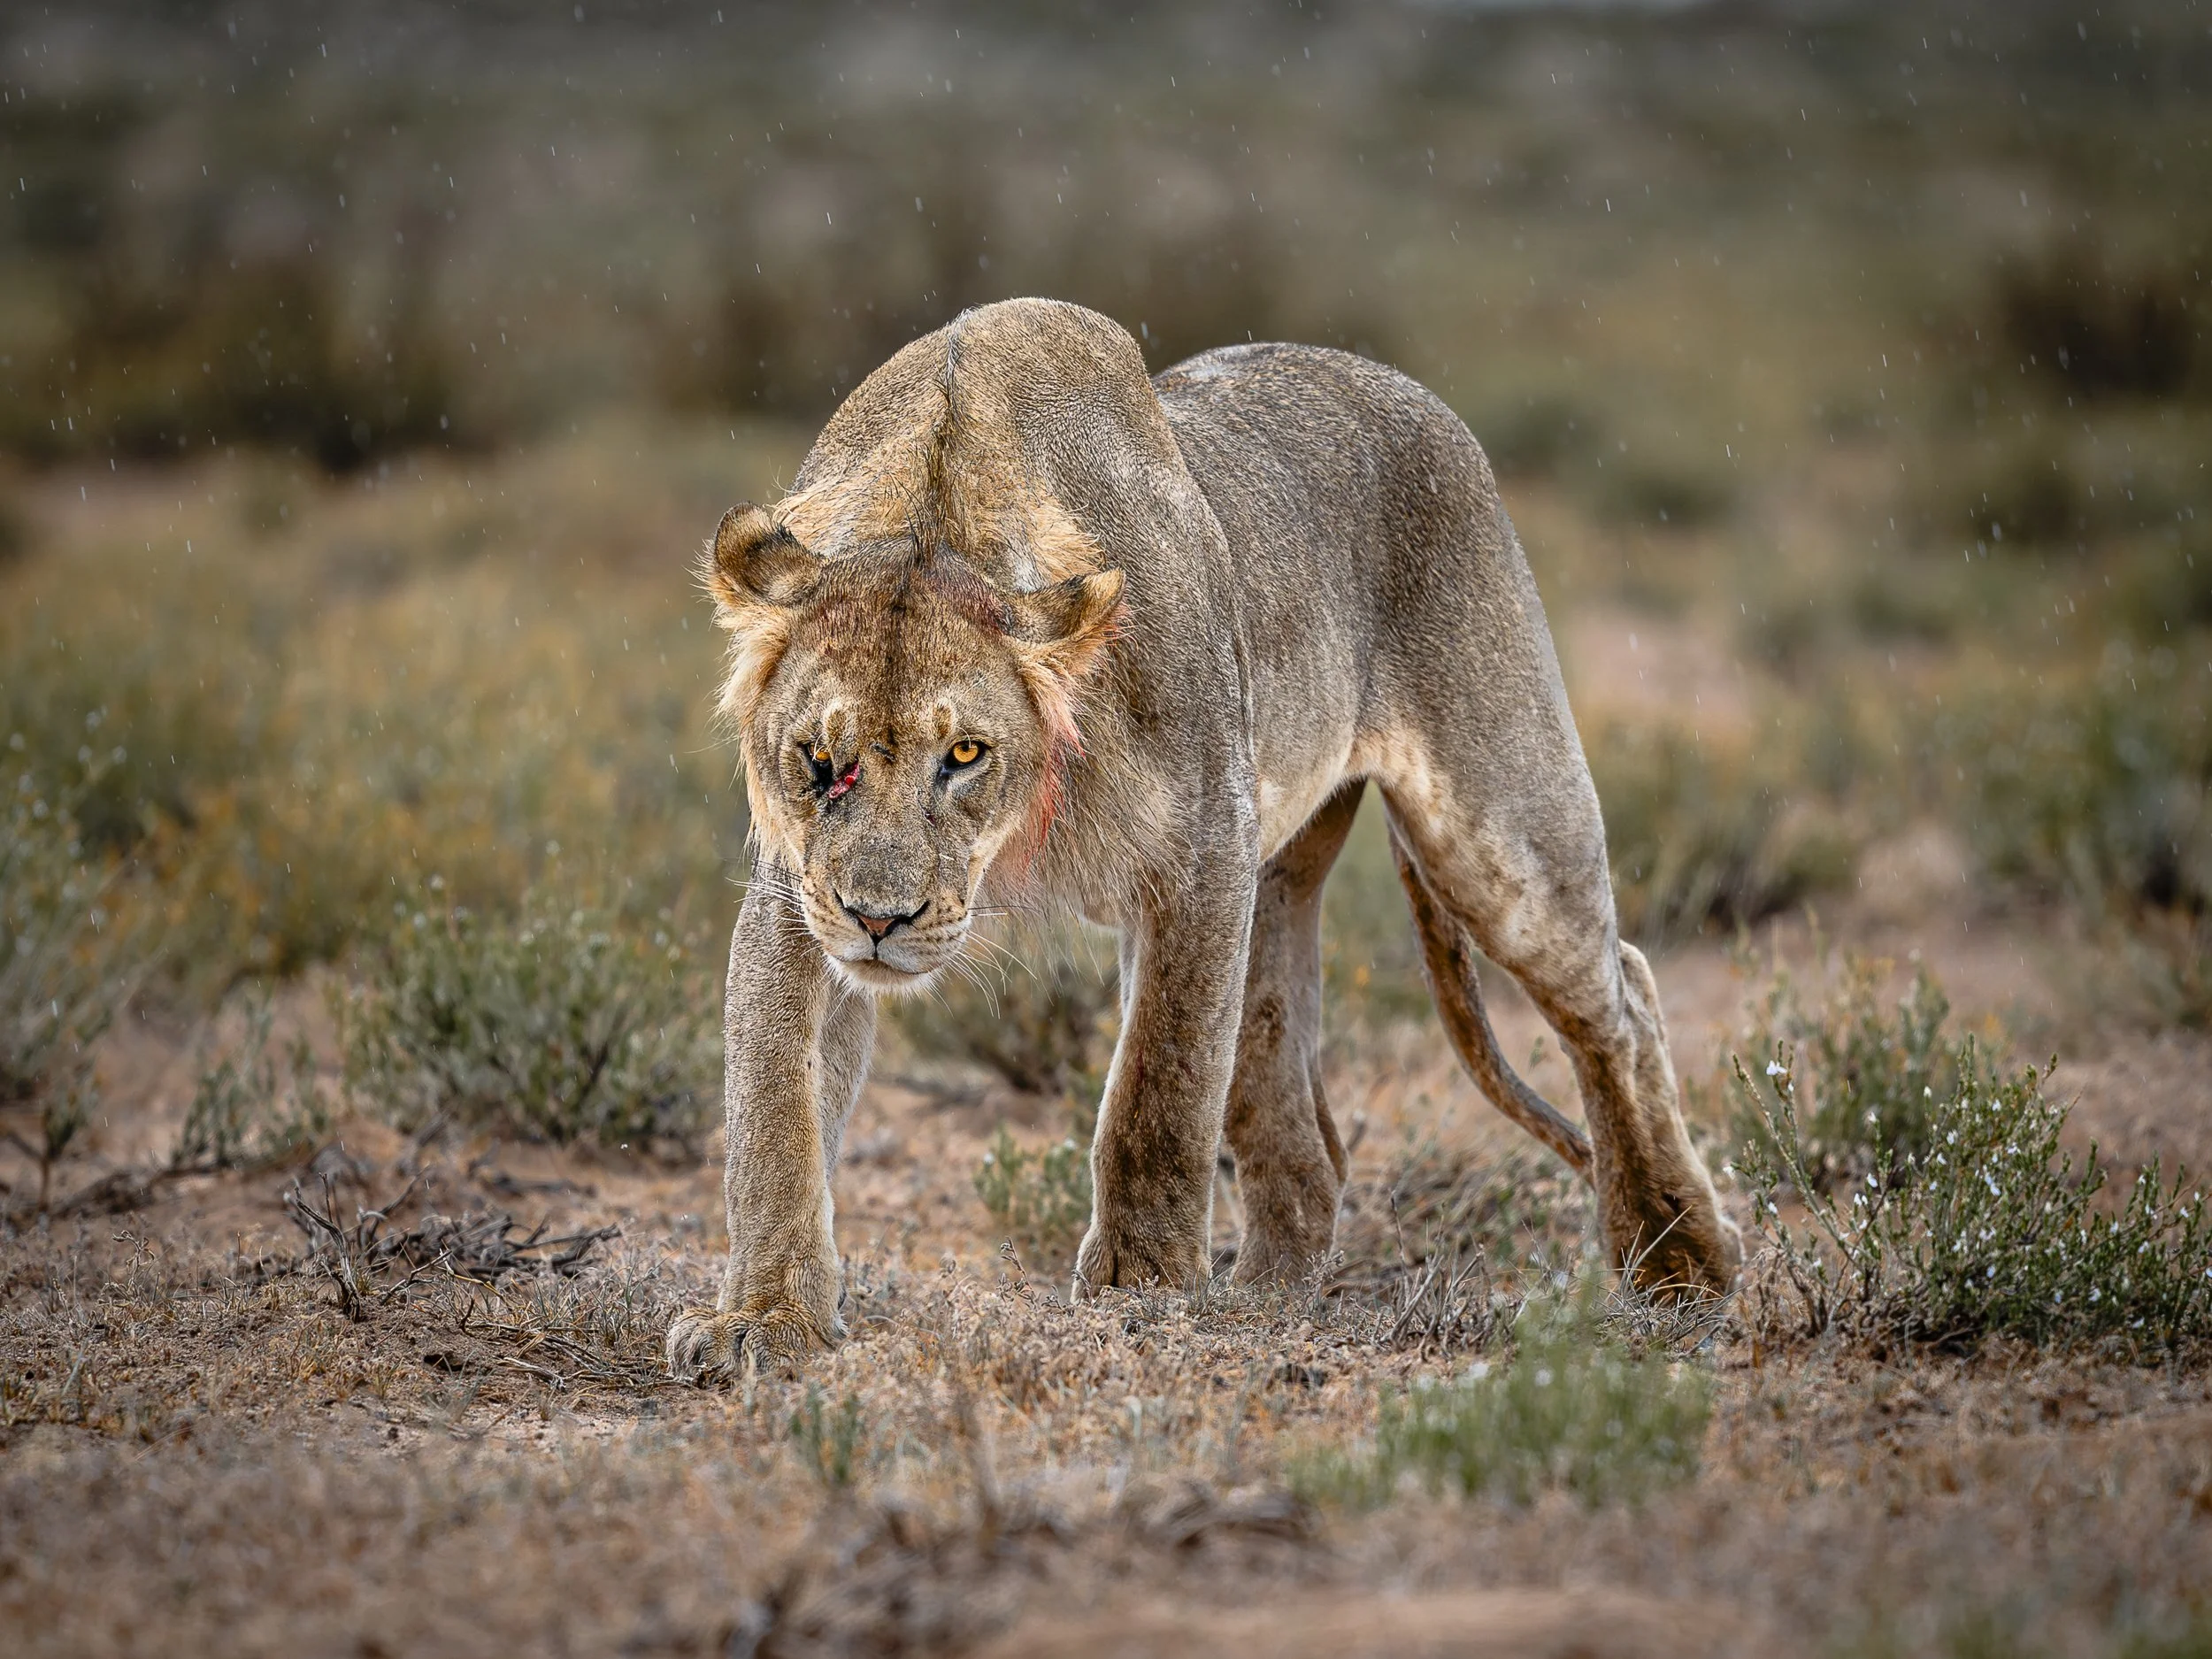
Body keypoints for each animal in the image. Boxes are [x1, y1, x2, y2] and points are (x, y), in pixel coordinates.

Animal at [666, 298, 1739, 1379]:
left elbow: (1161, 1083)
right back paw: (1268, 1299)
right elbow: (776, 1111)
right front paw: (765, 1318)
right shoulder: (799, 897)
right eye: (818, 759)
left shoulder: (1202, 851)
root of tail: (1409, 391)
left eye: (964, 753)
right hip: (1278, 890)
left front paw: (1139, 1288)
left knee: (1620, 998)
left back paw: (1678, 1259)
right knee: (1299, 1119)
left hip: (1496, 830)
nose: (879, 920)